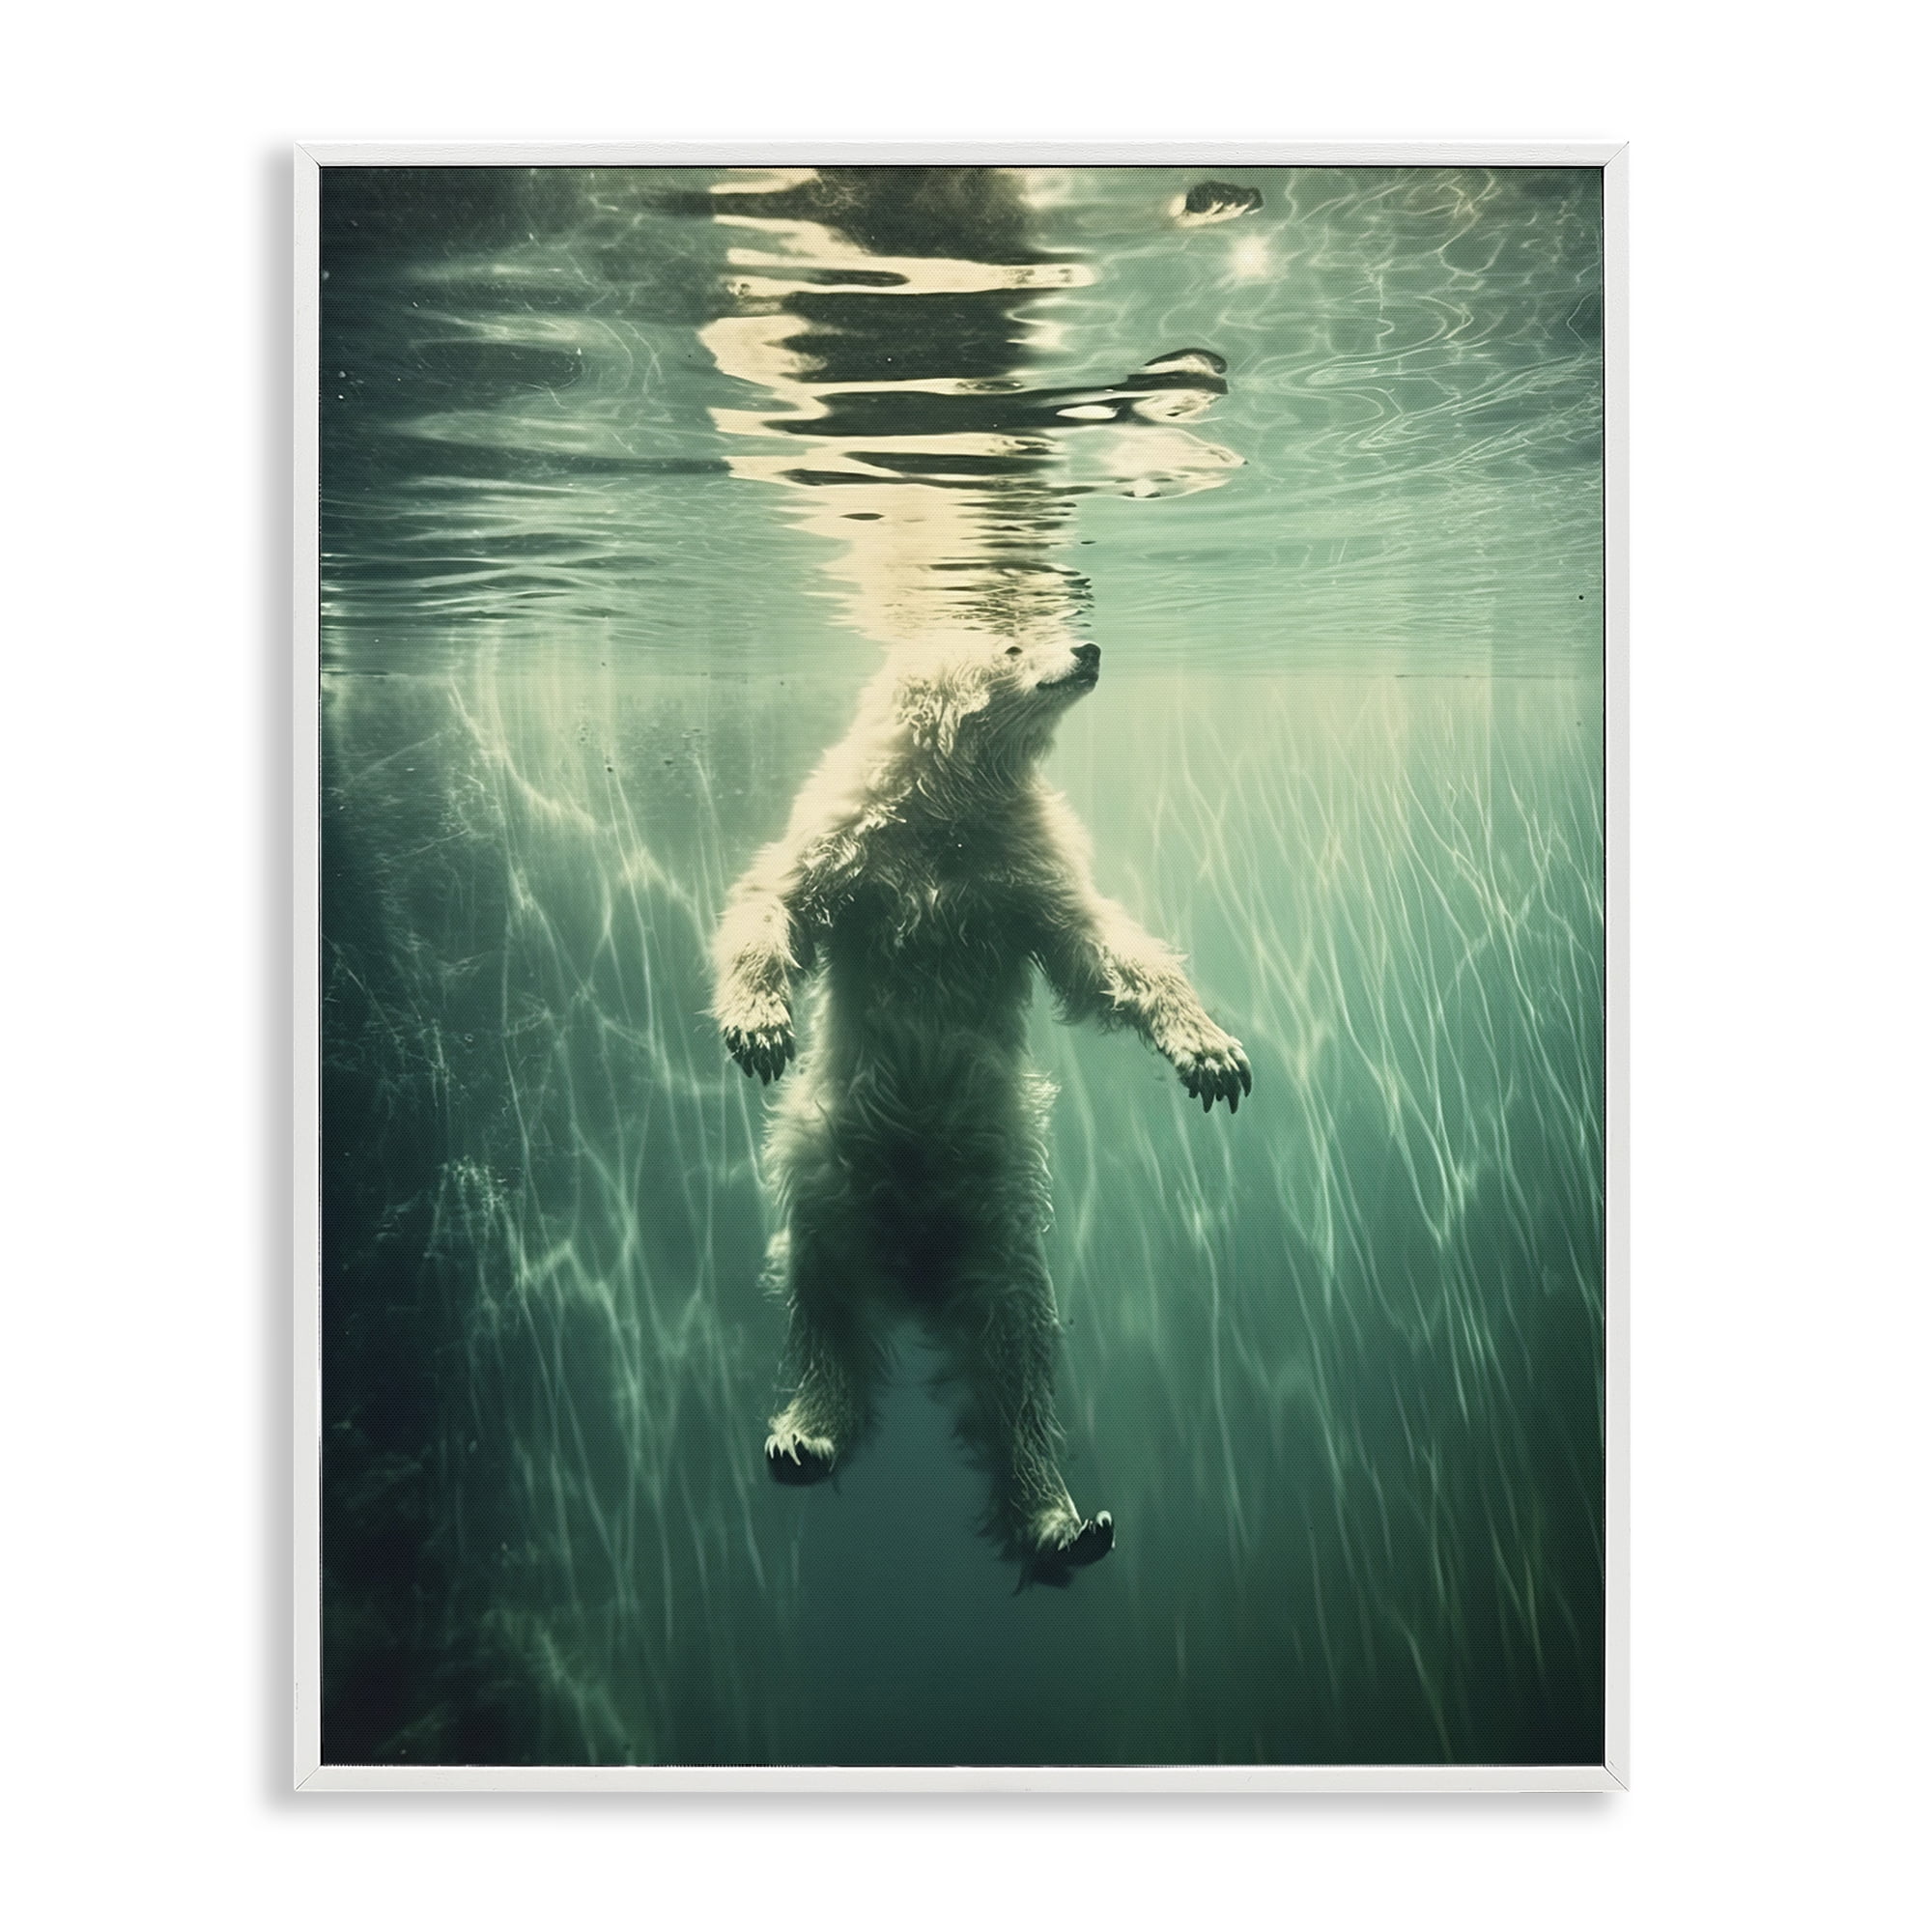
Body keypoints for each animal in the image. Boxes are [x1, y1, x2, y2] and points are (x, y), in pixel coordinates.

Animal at [712, 631, 1250, 1587]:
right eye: (1011, 635)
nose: (1090, 644)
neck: (944, 801)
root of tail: (914, 1263)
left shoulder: (1020, 869)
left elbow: (1103, 951)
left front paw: (1212, 1052)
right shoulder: (850, 835)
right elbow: (773, 900)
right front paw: (758, 1027)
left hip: (999, 1212)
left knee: (1013, 1355)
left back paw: (1062, 1519)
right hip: (831, 1169)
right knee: (825, 1303)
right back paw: (807, 1437)